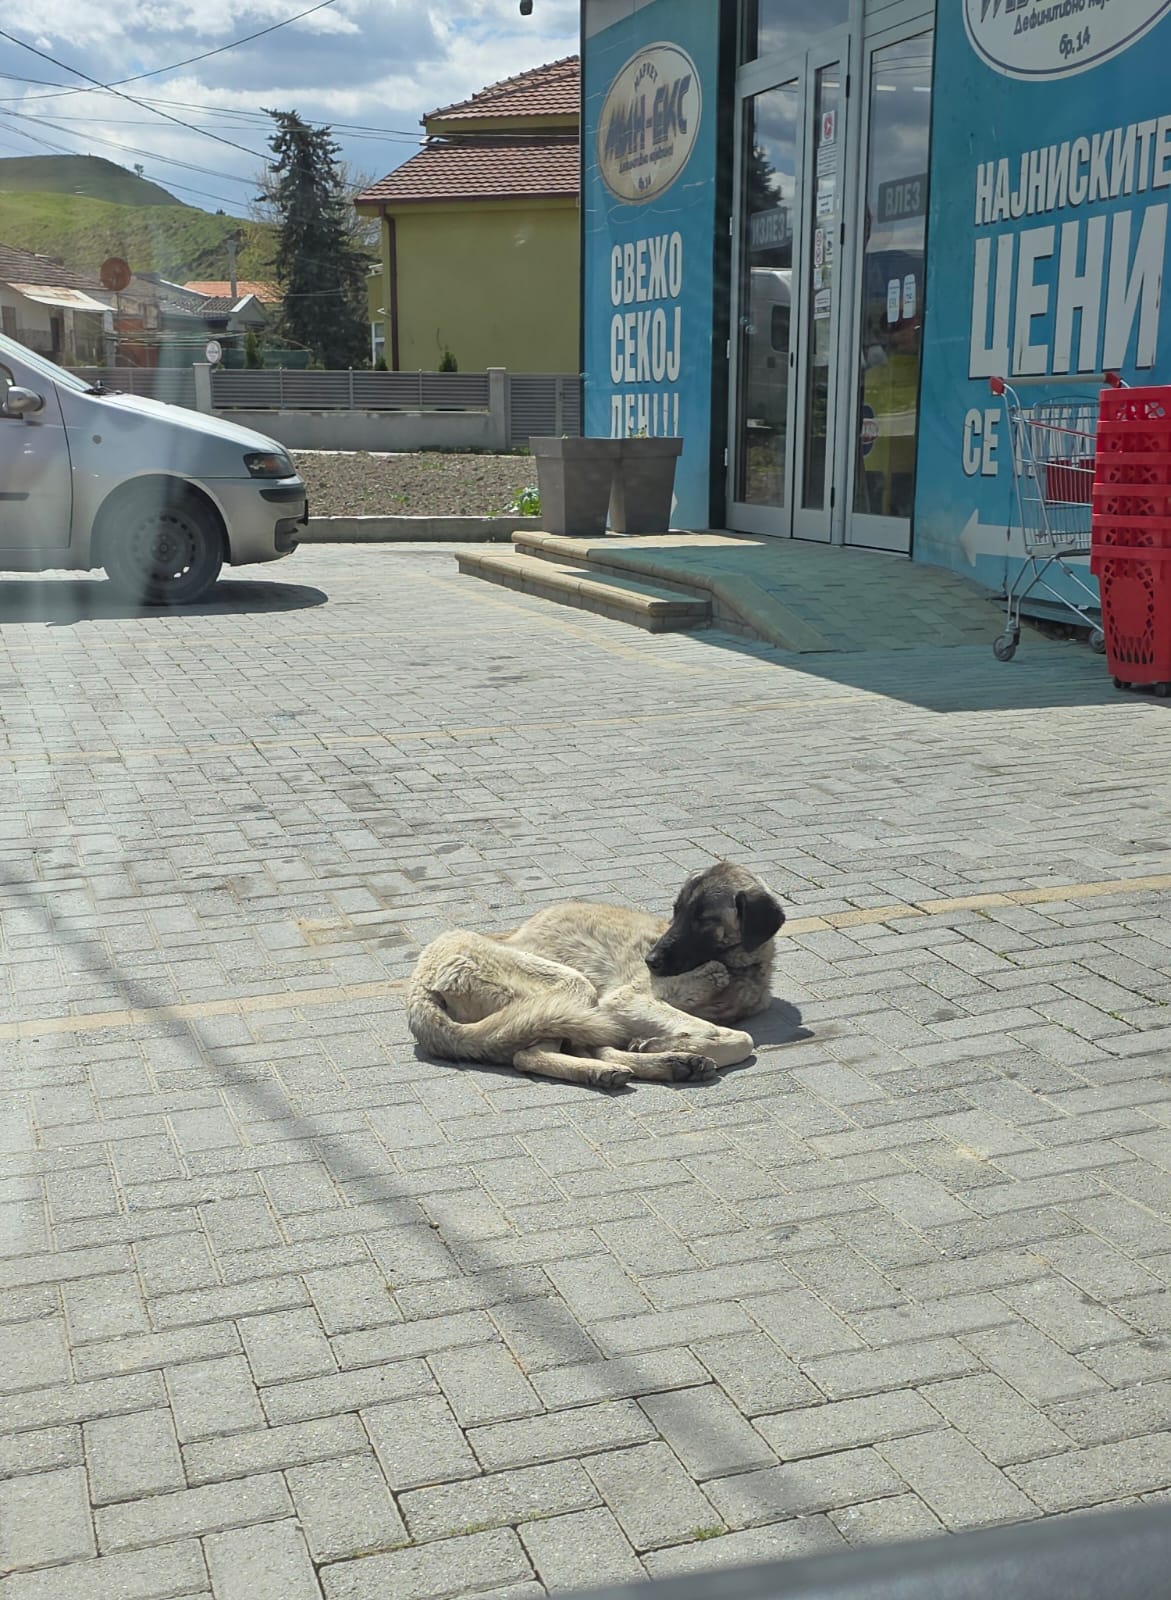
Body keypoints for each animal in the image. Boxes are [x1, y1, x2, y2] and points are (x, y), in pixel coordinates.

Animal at [405, 861, 785, 1089]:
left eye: (703, 919)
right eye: (676, 912)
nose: (650, 960)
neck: (741, 968)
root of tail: (418, 985)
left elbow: (732, 1035)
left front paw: (665, 1044)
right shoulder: (625, 1000)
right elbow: (739, 1039)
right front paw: (676, 1039)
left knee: (580, 1048)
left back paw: (669, 1062)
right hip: (573, 990)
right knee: (528, 1055)